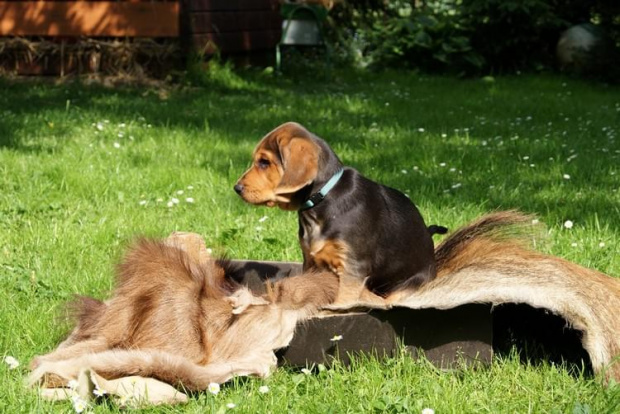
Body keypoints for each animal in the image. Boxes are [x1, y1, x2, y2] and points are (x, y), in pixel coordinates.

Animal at [234, 121, 446, 306]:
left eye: (264, 162)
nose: (236, 188)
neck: (321, 201)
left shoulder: (352, 267)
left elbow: (343, 300)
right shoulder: (311, 262)